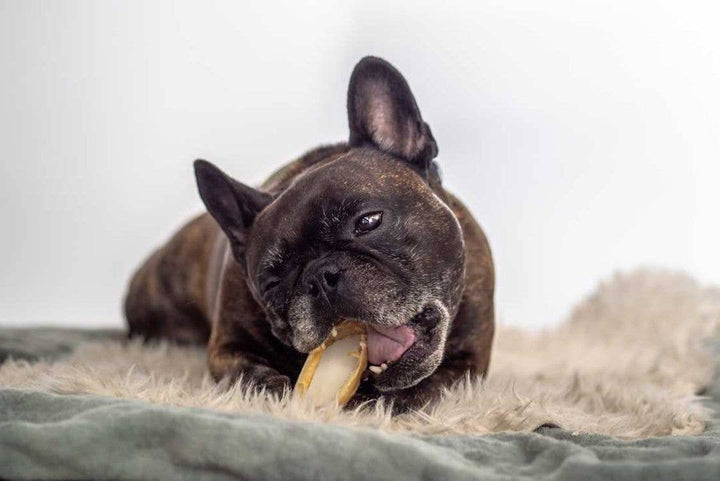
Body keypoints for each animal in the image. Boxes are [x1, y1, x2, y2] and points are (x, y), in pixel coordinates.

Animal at [125, 56, 496, 408]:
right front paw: (270, 387)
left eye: (368, 221)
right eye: (272, 283)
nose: (320, 275)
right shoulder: (225, 347)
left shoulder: (469, 364)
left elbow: (434, 382)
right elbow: (244, 371)